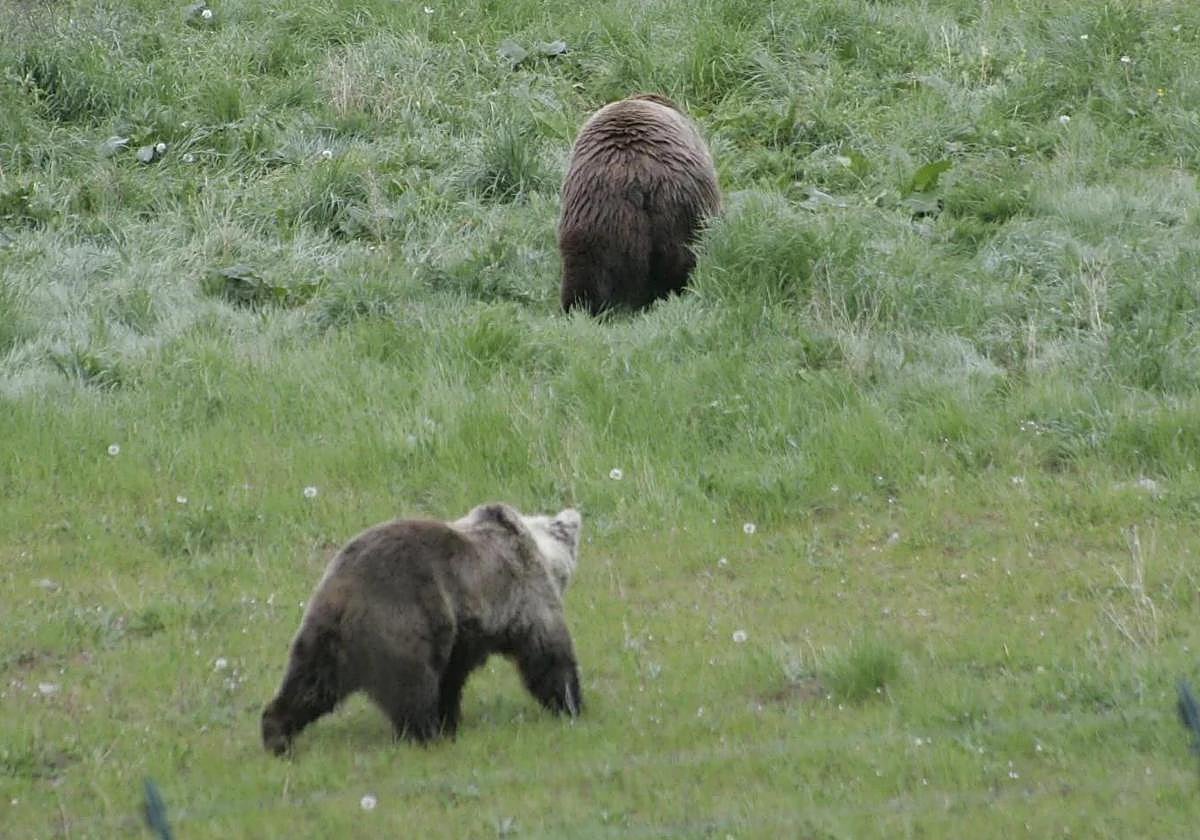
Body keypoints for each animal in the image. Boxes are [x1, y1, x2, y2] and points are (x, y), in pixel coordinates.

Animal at [261, 502, 583, 755]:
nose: (576, 515)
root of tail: (346, 594)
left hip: (324, 636)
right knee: (413, 688)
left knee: (309, 685)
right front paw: (570, 704)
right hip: (405, 620)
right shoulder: (524, 596)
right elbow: (547, 654)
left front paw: (450, 719)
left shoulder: (461, 636)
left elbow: (451, 678)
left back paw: (277, 735)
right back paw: (424, 735)